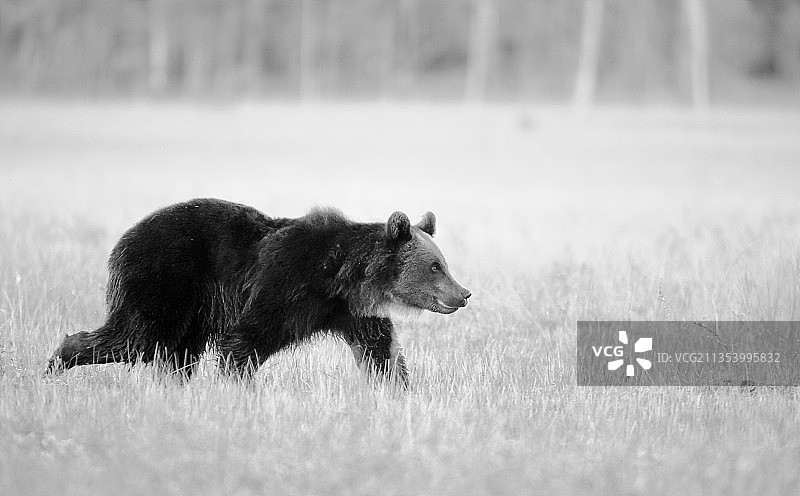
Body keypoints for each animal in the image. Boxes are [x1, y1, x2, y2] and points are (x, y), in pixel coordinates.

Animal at [46, 198, 470, 386]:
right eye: (435, 266)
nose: (463, 293)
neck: (341, 279)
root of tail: (123, 239)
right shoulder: (287, 283)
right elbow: (247, 337)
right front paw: (237, 386)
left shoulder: (353, 312)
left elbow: (381, 351)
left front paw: (399, 389)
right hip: (165, 277)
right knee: (138, 336)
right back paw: (56, 361)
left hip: (192, 307)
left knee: (176, 353)